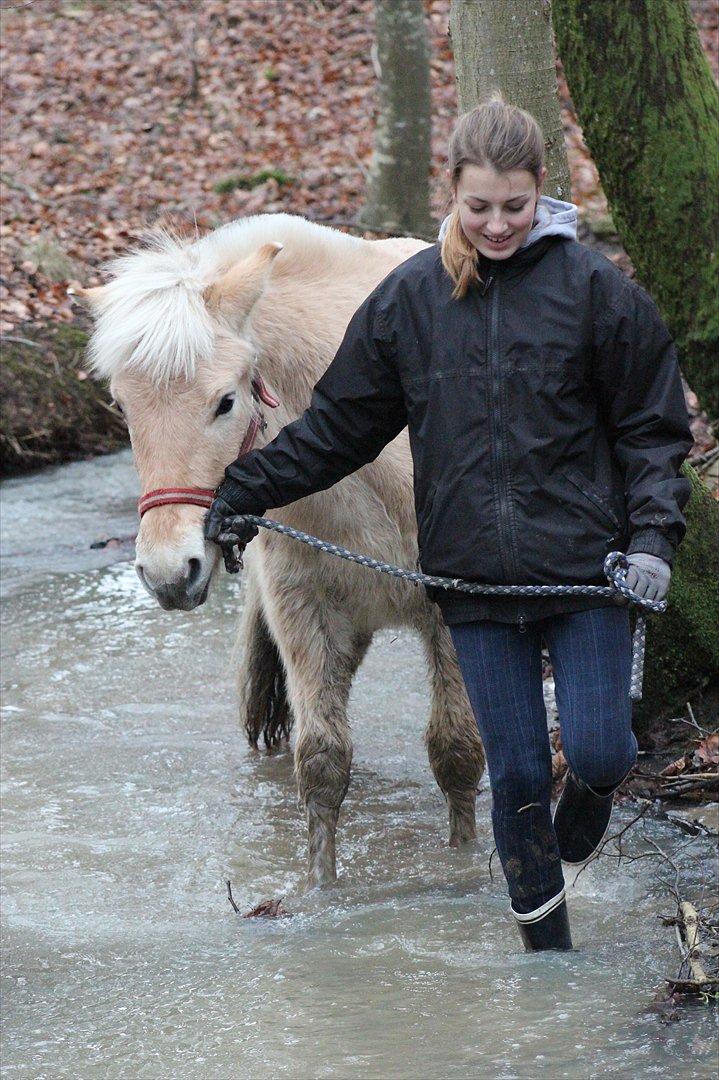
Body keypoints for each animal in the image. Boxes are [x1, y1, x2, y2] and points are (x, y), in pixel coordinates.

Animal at [77, 214, 481, 889]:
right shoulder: (303, 612)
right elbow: (322, 764)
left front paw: (467, 867)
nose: (168, 574)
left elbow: (457, 753)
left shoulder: (454, 612)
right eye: (123, 406)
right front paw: (320, 890)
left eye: (224, 401)